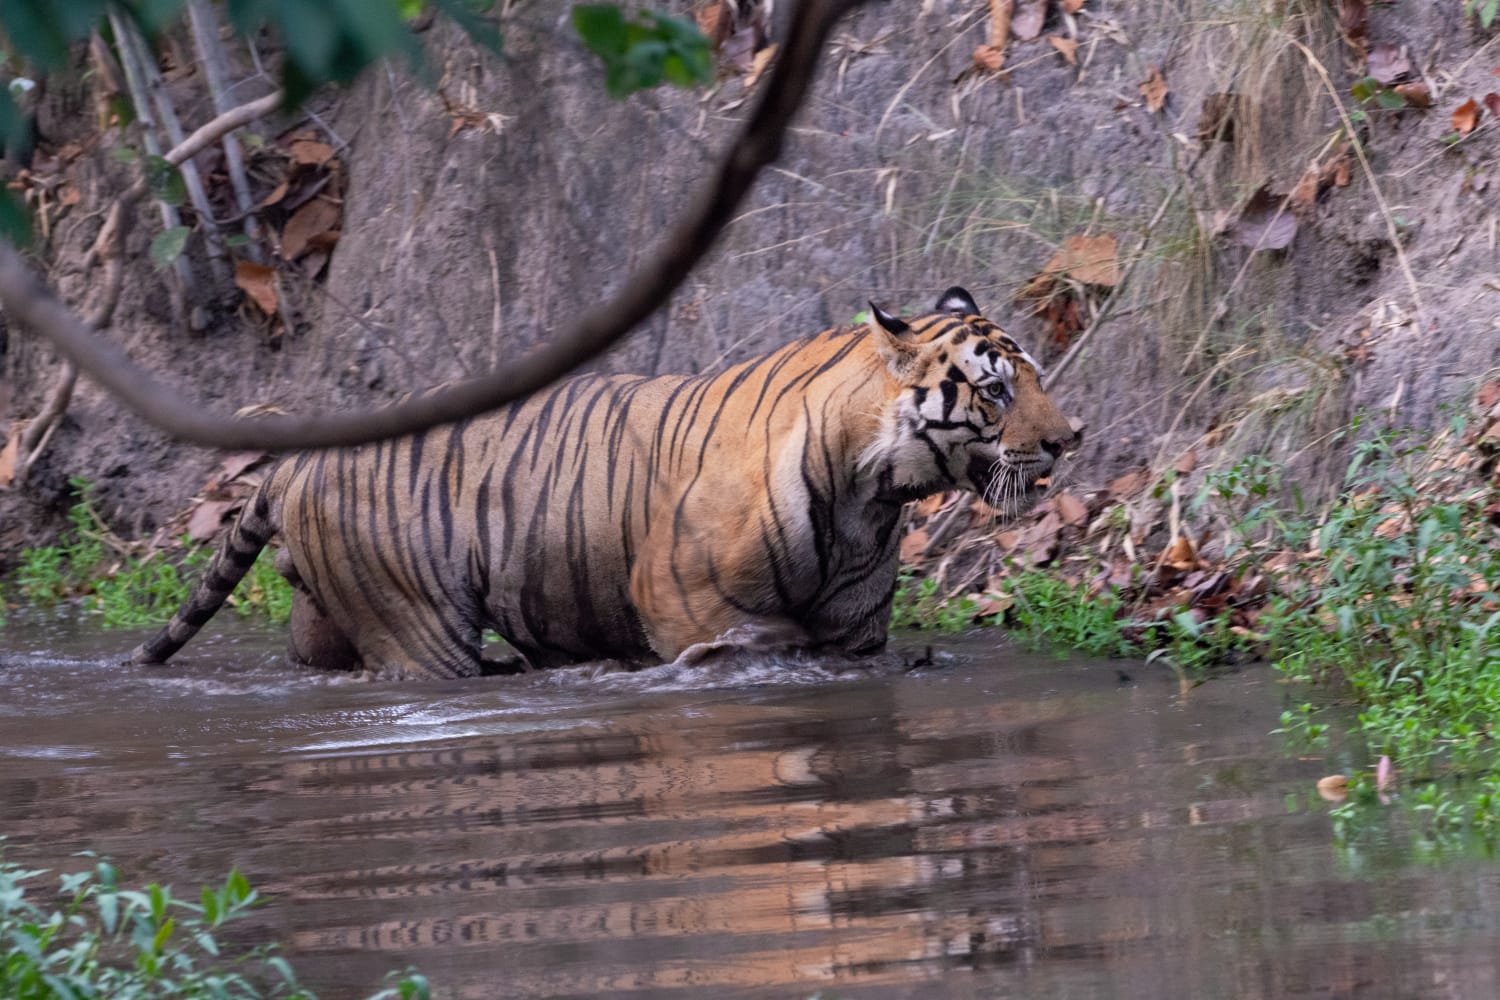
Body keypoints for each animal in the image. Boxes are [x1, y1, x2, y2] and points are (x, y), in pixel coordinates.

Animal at [131, 286, 1081, 679]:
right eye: (997, 390)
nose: (1069, 441)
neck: (872, 496)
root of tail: (299, 458)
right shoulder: (681, 602)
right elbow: (753, 644)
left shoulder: (856, 632)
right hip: (419, 628)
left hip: (320, 621)